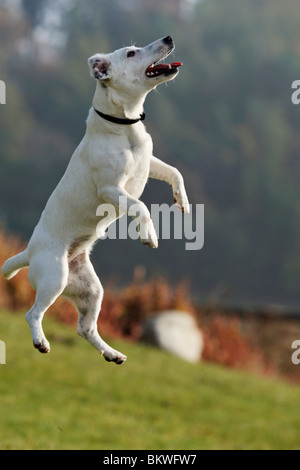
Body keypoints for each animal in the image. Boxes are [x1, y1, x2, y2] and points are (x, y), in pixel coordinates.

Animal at [2, 36, 189, 364]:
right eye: (131, 53)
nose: (168, 38)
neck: (125, 127)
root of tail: (28, 252)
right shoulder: (111, 189)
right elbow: (140, 206)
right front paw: (149, 235)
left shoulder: (149, 163)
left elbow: (174, 172)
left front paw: (183, 201)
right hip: (54, 277)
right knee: (32, 313)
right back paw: (41, 341)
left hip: (90, 290)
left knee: (85, 328)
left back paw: (112, 353)